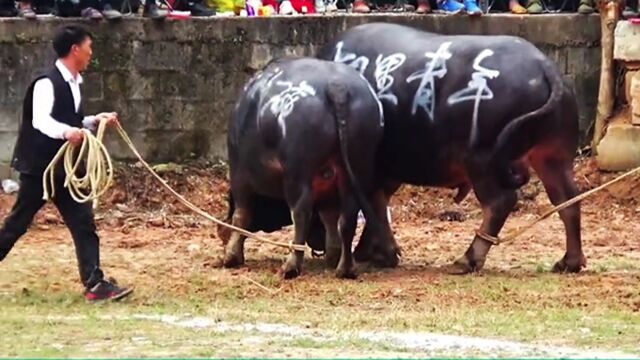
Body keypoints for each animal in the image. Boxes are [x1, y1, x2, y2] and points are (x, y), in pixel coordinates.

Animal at [219, 57, 384, 278]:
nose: (220, 230)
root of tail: (337, 87)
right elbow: (329, 216)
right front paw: (332, 254)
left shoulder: (240, 177)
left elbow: (242, 215)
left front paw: (231, 258)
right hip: (357, 166)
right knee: (347, 216)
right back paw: (344, 269)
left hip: (297, 173)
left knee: (300, 212)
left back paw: (290, 267)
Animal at [318, 23, 584, 272]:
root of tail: (545, 67)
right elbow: (378, 203)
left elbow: (371, 204)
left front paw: (372, 253)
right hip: (553, 156)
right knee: (567, 199)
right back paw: (570, 261)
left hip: (481, 161)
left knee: (500, 202)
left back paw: (468, 259)